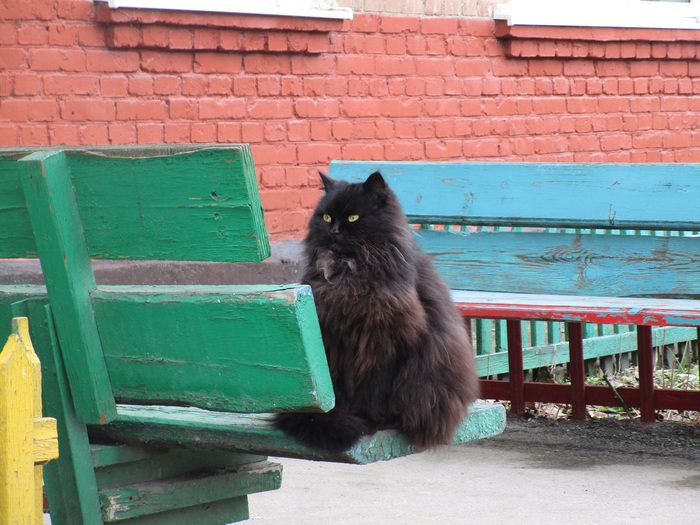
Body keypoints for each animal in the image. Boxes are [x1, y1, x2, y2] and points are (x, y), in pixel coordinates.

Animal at [273, 171, 479, 452]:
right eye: (326, 217)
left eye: (353, 217)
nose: (334, 231)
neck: (349, 270)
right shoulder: (338, 341)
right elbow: (341, 391)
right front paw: (349, 418)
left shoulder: (387, 343)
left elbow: (375, 392)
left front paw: (370, 421)